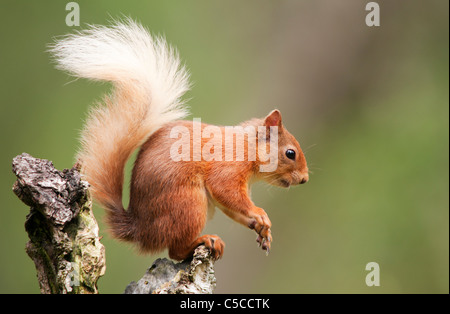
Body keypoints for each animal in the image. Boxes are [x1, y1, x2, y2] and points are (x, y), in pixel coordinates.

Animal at [50, 19, 310, 260]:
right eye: (290, 153)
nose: (305, 179)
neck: (247, 145)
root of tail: (141, 230)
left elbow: (232, 208)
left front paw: (262, 228)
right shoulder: (228, 167)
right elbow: (227, 192)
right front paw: (258, 213)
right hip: (188, 204)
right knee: (175, 251)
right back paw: (204, 240)